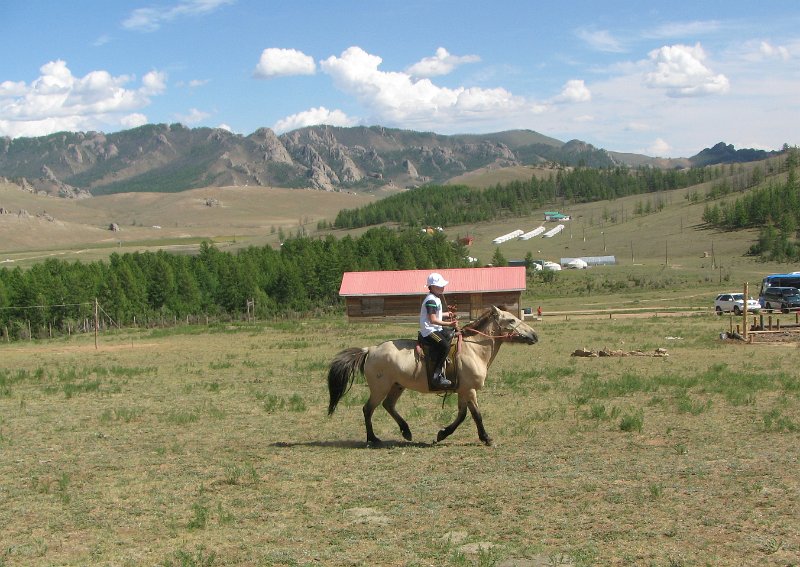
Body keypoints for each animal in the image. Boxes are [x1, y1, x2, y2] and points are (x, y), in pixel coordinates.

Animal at [324, 308, 536, 446]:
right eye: (511, 320)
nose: (534, 335)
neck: (473, 349)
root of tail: (370, 350)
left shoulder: (463, 390)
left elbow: (462, 415)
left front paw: (442, 434)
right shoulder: (470, 390)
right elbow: (476, 414)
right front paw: (486, 438)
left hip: (397, 386)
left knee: (388, 406)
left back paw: (406, 431)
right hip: (380, 388)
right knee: (368, 409)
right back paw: (373, 439)